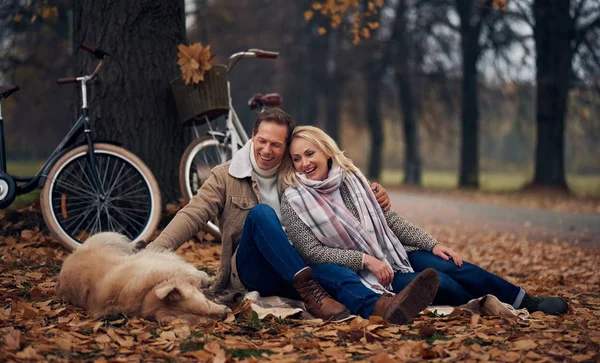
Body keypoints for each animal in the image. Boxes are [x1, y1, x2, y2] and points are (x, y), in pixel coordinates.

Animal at [56, 233, 230, 324]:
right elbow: (195, 273)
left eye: (206, 303)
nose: (226, 314)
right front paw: (205, 278)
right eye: (204, 321)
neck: (148, 293)